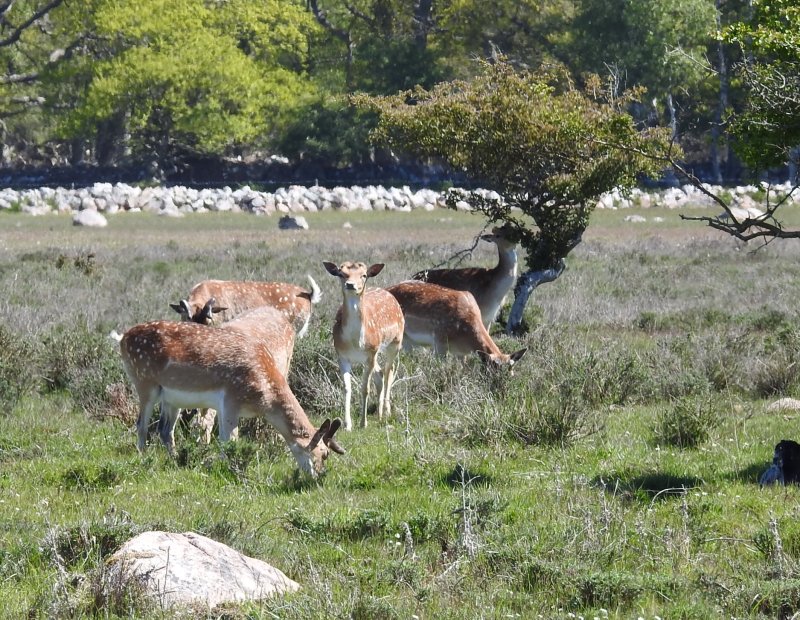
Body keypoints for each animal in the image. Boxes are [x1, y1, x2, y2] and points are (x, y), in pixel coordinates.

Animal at [119, 312, 344, 478]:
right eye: (324, 454)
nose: (319, 476)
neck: (263, 397)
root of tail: (122, 339)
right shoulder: (230, 400)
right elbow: (230, 441)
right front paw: (225, 468)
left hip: (172, 399)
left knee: (165, 430)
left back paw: (175, 460)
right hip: (144, 383)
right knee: (141, 425)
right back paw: (143, 459)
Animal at [322, 260, 404, 432]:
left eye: (364, 275)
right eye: (341, 273)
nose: (350, 284)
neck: (355, 342)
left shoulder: (371, 352)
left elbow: (365, 388)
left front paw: (363, 423)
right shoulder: (341, 355)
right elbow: (347, 388)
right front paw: (347, 424)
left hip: (395, 342)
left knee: (389, 371)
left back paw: (386, 411)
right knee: (380, 373)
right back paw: (379, 413)